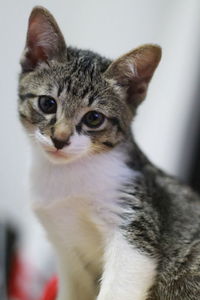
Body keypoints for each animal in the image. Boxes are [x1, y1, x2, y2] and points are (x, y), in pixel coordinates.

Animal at [17, 5, 200, 300]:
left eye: (94, 118)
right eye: (47, 103)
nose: (60, 139)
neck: (66, 175)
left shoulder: (134, 227)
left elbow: (120, 284)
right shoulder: (67, 253)